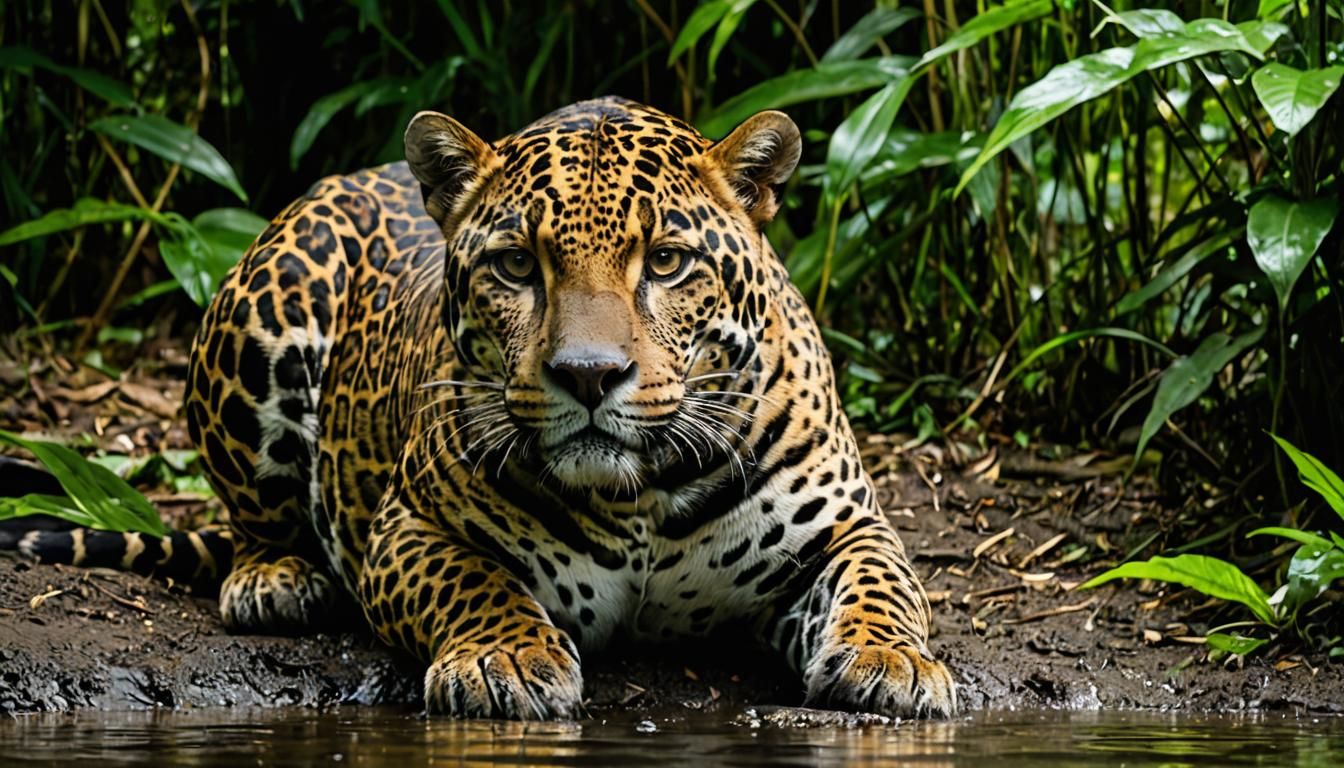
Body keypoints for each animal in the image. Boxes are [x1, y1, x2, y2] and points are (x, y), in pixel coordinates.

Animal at [142, 97, 957, 719]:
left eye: (666, 262)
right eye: (515, 266)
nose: (589, 376)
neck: (640, 497)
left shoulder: (846, 526)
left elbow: (882, 583)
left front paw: (892, 661)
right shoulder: (406, 526)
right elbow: (473, 579)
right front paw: (504, 656)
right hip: (265, 308)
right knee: (255, 517)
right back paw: (274, 580)